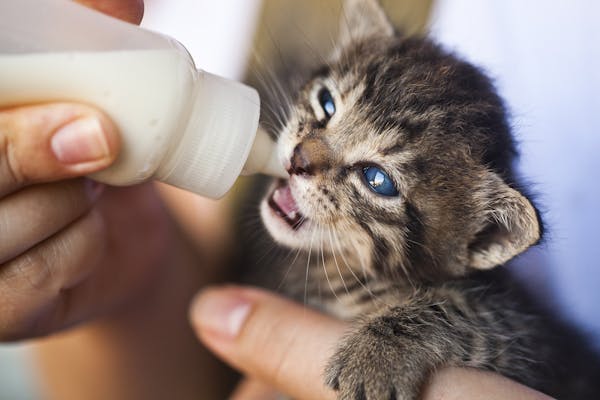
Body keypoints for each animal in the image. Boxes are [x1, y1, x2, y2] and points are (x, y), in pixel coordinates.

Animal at [253, 1, 600, 398]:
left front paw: (377, 353)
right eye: (326, 103)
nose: (298, 160)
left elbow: (468, 312)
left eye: (377, 180)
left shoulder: (533, 347)